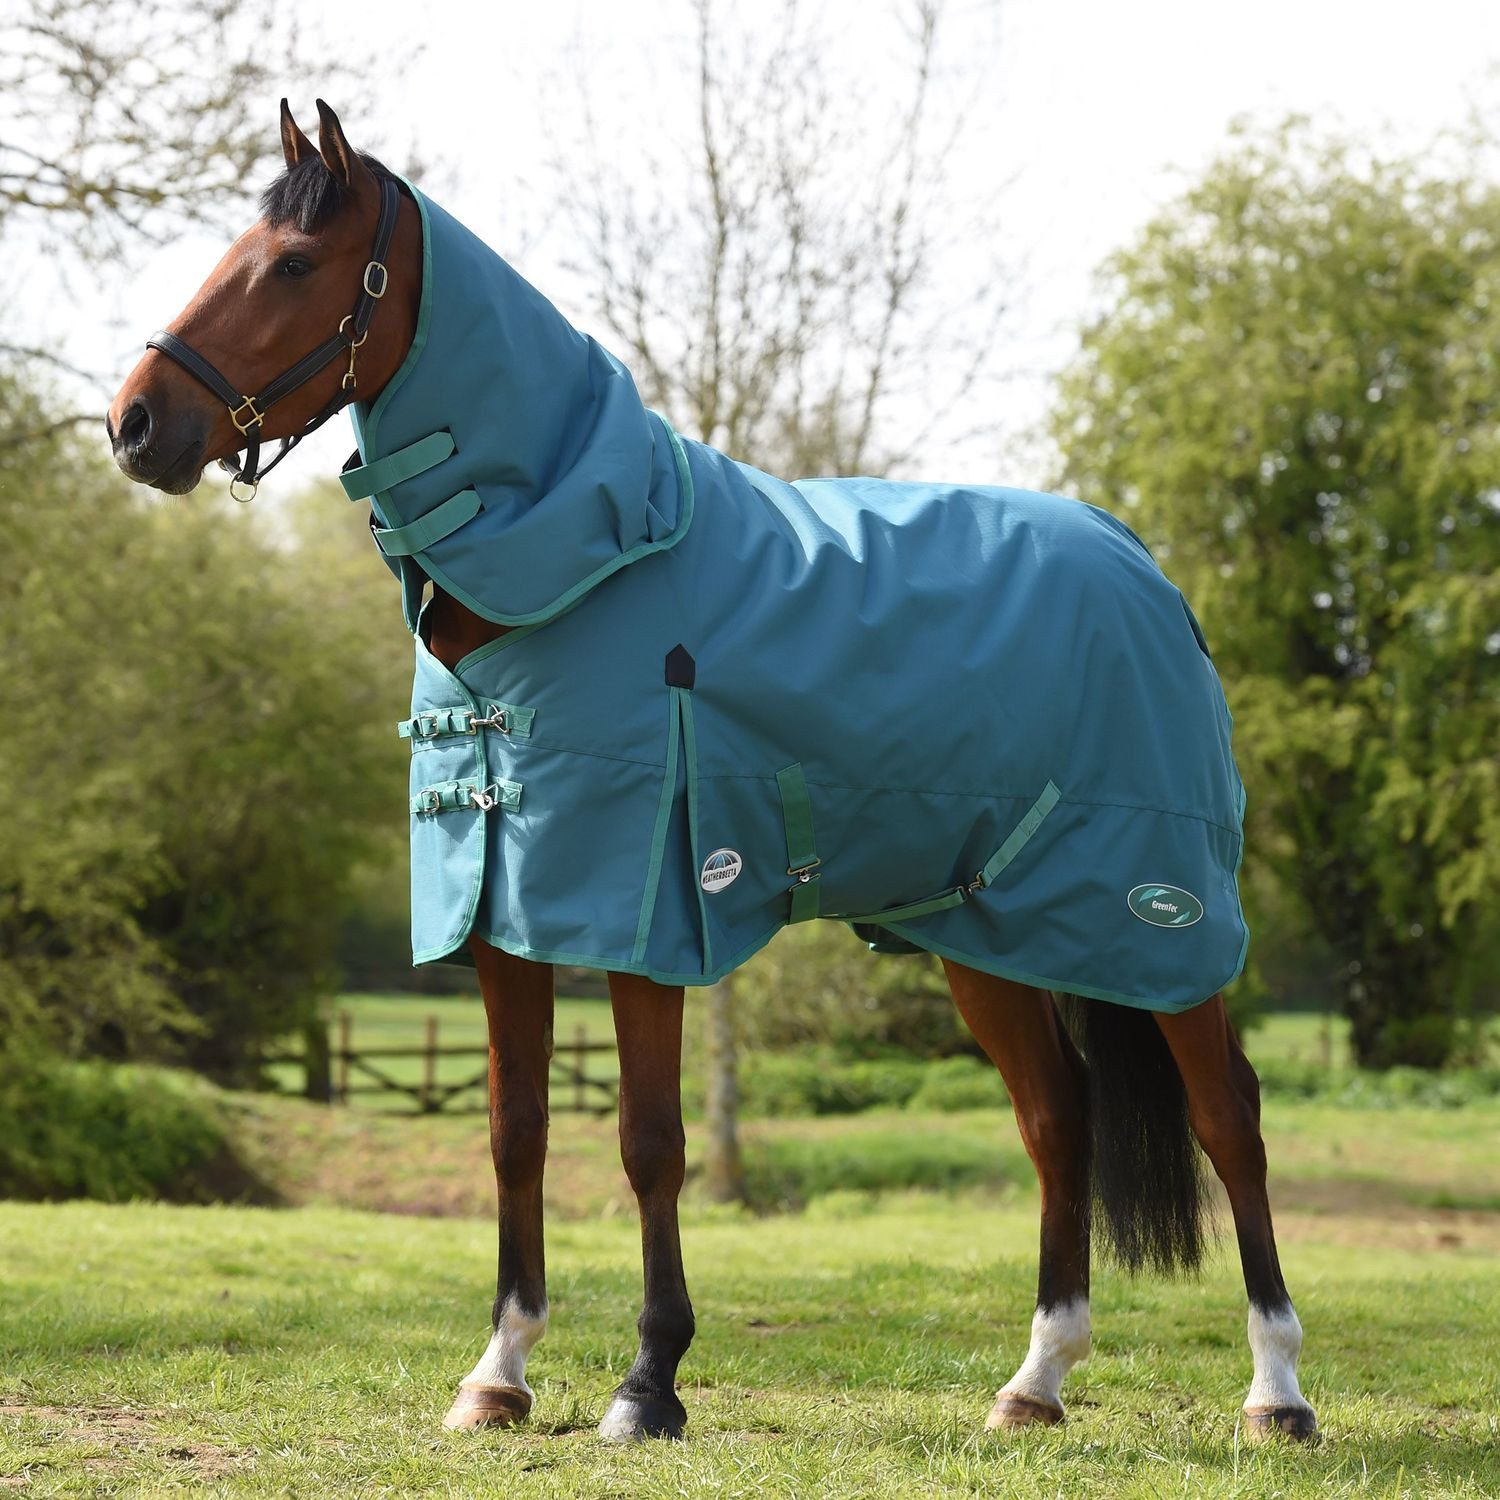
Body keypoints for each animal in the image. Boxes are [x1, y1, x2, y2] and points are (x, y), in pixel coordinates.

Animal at [106, 100, 1317, 1445]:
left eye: (294, 265)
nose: (136, 424)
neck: (581, 561)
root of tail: (1147, 575)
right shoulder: (501, 918)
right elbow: (516, 1132)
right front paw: (499, 1371)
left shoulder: (646, 911)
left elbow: (648, 1141)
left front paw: (649, 1382)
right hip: (986, 933)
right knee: (1058, 1123)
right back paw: (1034, 1384)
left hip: (1161, 923)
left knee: (1230, 1121)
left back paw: (1276, 1395)